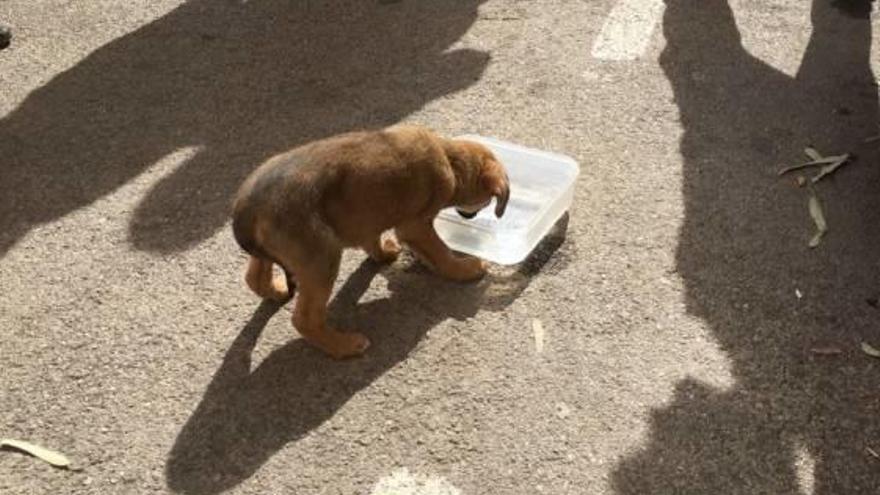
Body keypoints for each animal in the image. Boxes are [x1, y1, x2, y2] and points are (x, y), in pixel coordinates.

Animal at [234, 126, 508, 358]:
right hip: (321, 259)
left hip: (274, 252)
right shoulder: (416, 227)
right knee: (304, 319)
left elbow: (372, 241)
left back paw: (276, 291)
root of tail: (249, 209)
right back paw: (344, 345)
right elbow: (440, 252)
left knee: (253, 277)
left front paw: (384, 255)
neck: (449, 159)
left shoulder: (368, 217)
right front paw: (465, 269)